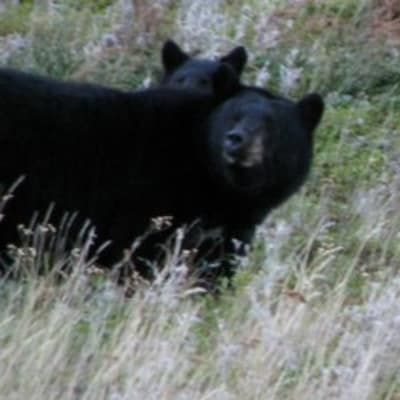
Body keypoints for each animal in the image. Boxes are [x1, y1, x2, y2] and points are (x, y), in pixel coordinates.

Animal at [0, 67, 324, 286]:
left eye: (271, 125)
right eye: (234, 116)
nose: (236, 140)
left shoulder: (227, 230)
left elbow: (214, 268)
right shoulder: (146, 200)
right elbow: (138, 255)